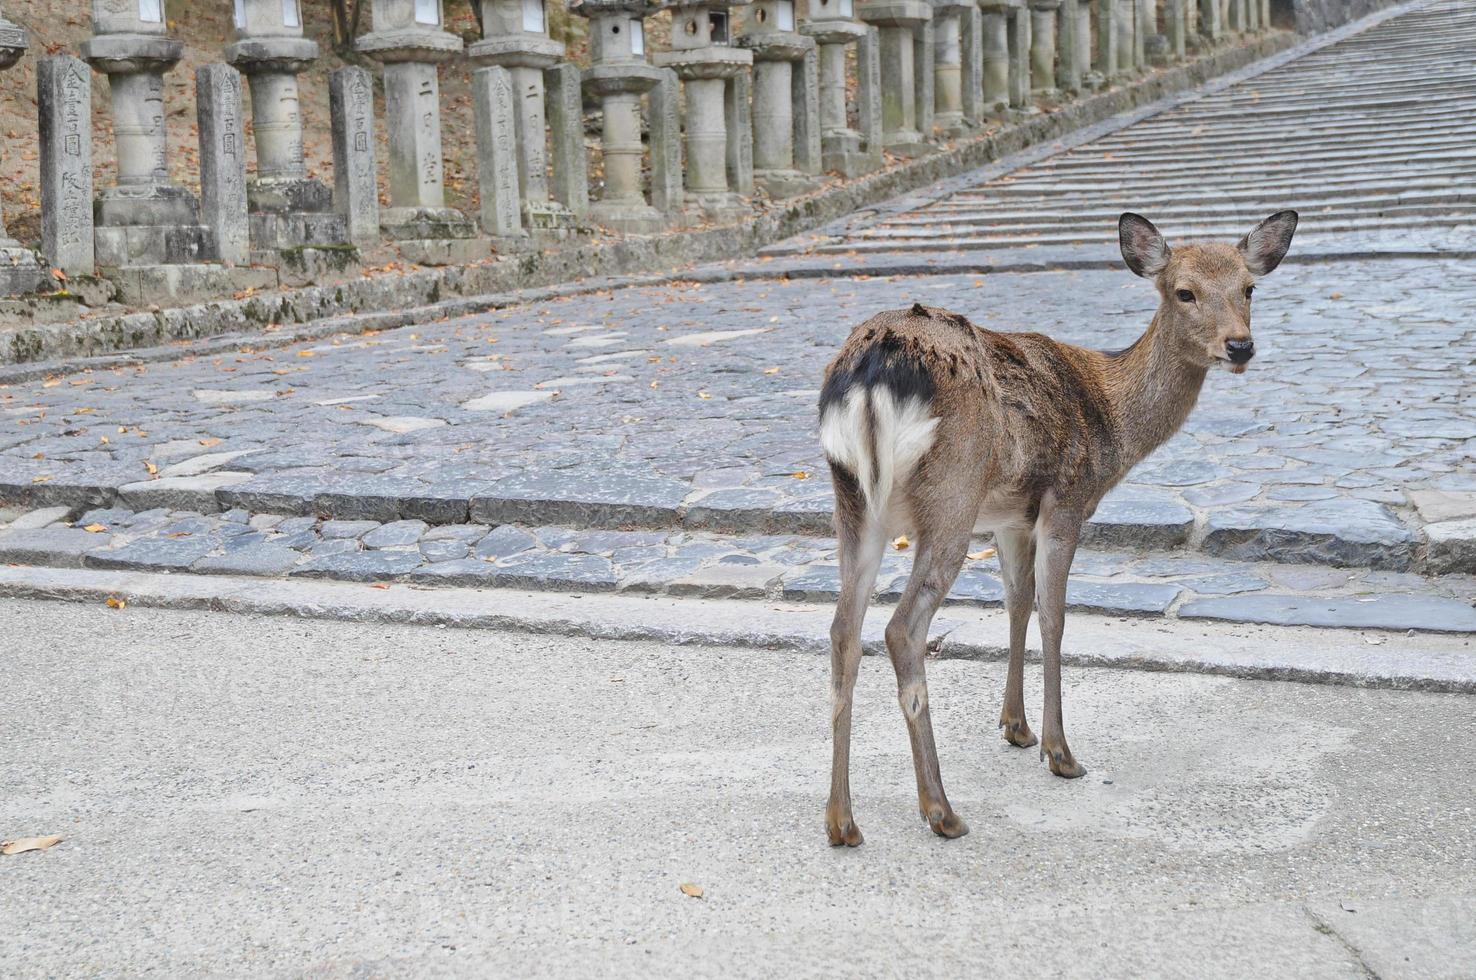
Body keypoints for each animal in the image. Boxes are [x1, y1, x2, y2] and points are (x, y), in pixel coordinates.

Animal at [820, 208, 1304, 844]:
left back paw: (842, 821)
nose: (1240, 346)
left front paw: (1015, 727)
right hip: (951, 496)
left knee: (842, 630)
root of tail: (872, 372)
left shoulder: (1007, 517)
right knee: (901, 629)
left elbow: (1017, 603)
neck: (1111, 417)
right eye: (1184, 292)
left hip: (854, 503)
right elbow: (1054, 615)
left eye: (1249, 288)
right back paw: (941, 810)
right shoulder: (1067, 500)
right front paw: (1059, 751)